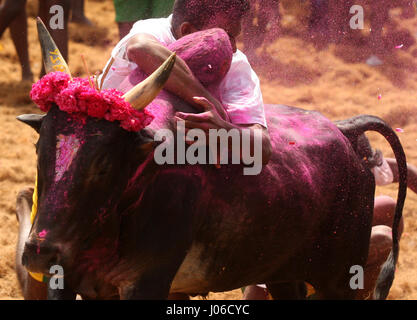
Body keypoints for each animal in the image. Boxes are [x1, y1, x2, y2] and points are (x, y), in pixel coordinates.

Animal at [14, 20, 404, 300]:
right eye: (40, 151)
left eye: (104, 165)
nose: (40, 253)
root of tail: (344, 132)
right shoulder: (65, 280)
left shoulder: (146, 283)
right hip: (283, 273)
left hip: (340, 278)